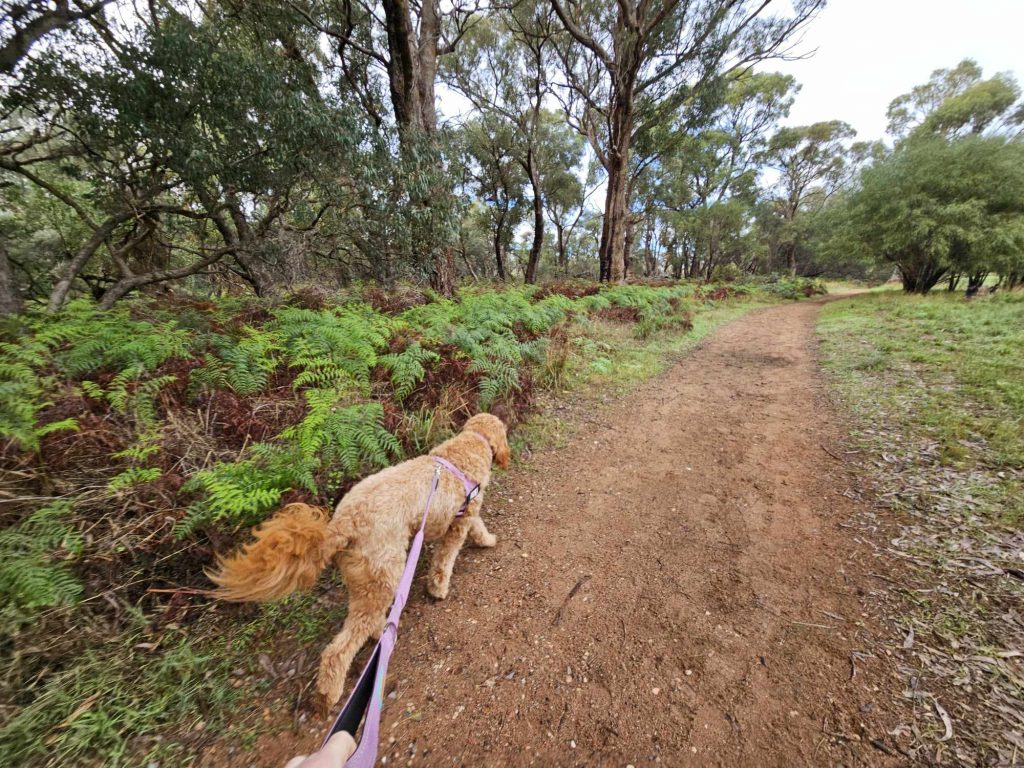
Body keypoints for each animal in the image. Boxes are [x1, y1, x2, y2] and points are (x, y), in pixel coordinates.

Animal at [206, 417, 507, 712]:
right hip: (384, 572)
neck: (469, 444)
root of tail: (343, 524)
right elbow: (446, 559)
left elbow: (477, 528)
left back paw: (382, 633)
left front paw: (487, 540)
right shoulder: (460, 521)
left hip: (366, 578)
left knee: (367, 620)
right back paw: (329, 693)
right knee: (340, 648)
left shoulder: (467, 516)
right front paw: (441, 587)